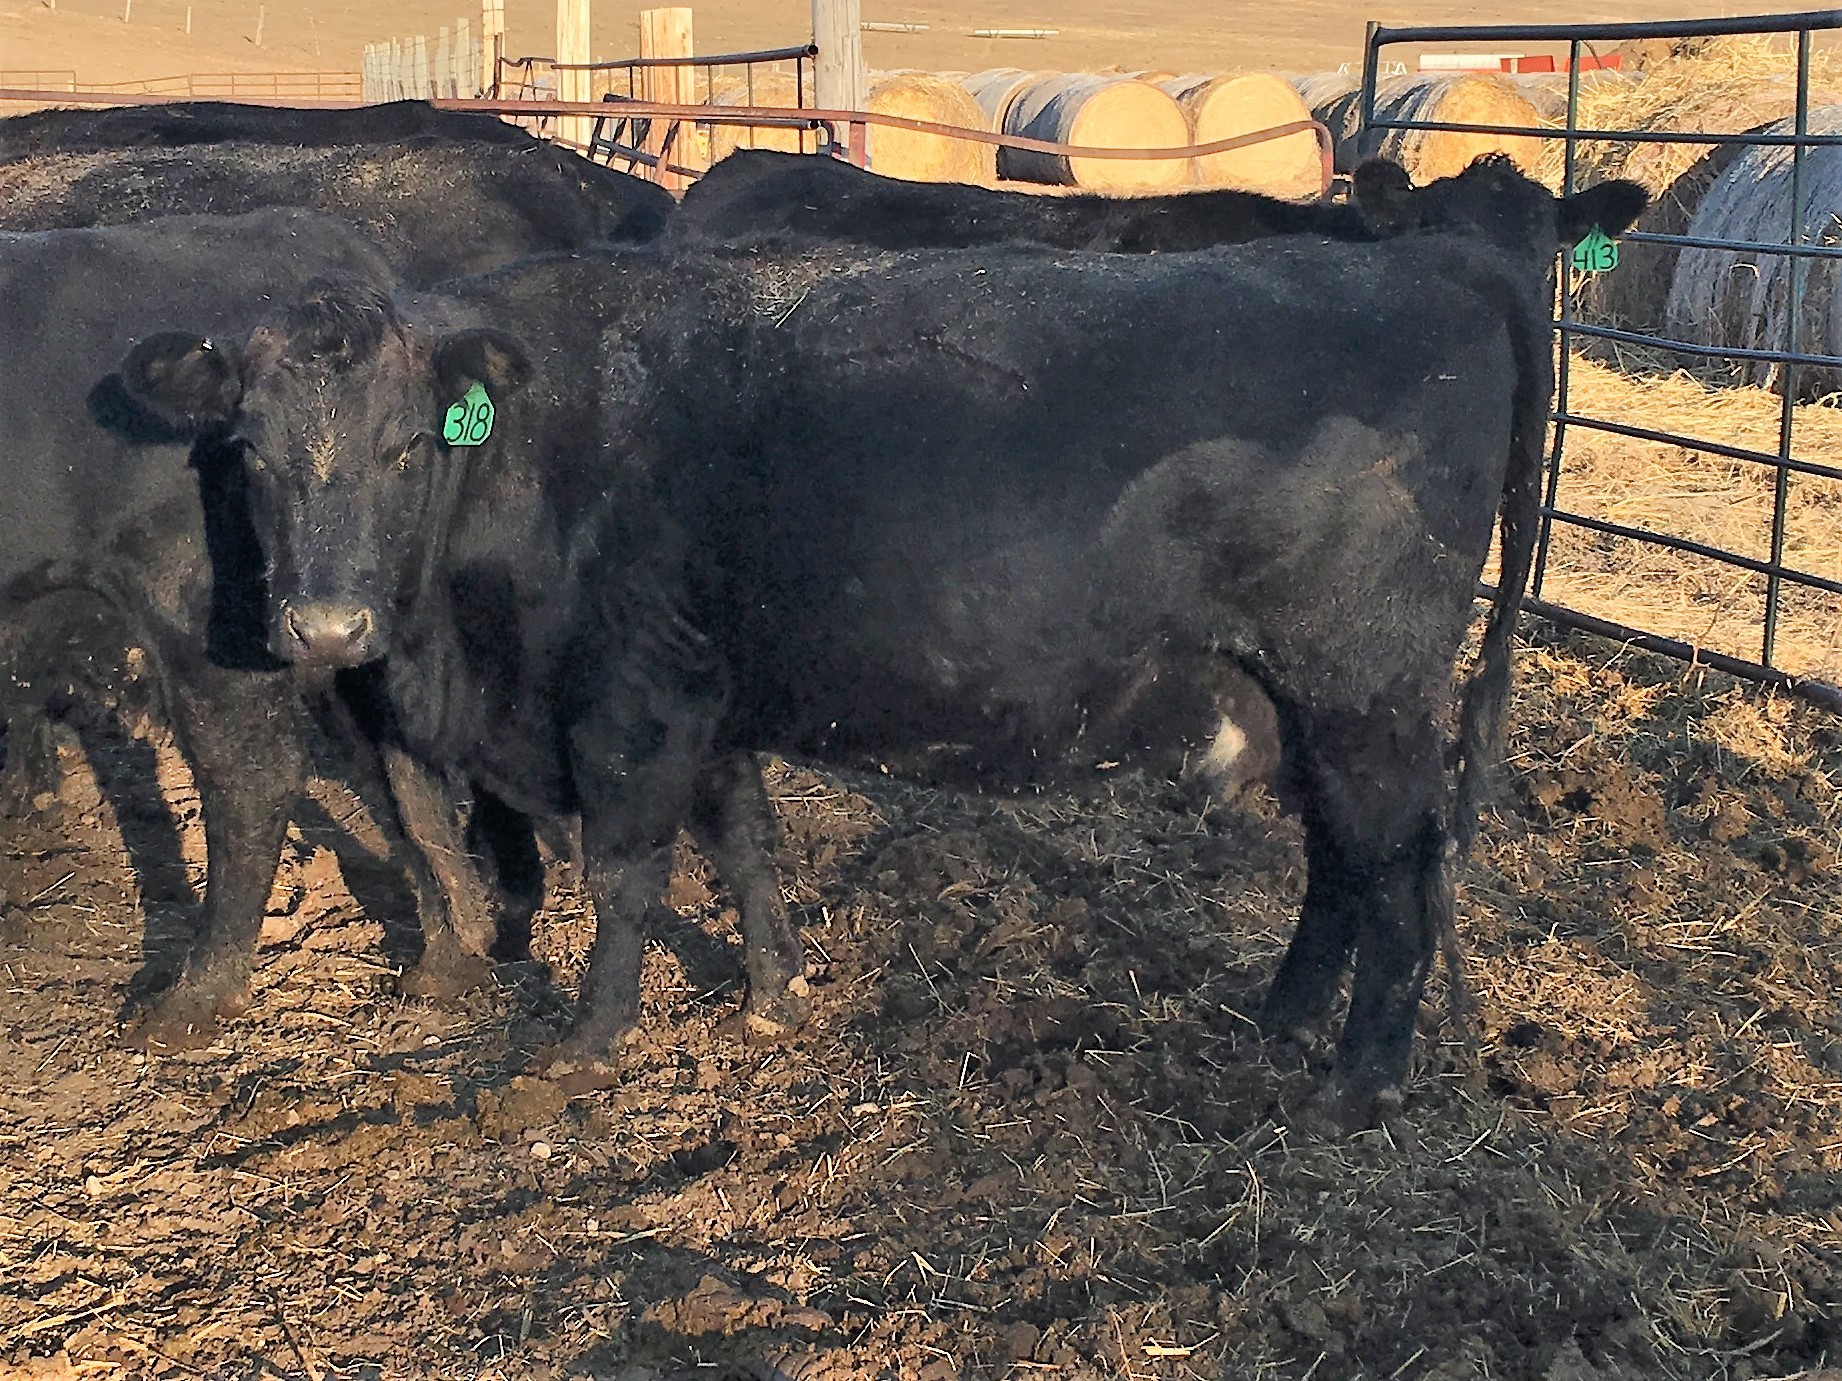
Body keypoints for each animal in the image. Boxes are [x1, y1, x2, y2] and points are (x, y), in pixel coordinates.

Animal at [124, 158, 1647, 1124]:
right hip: (1307, 701)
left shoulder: (630, 705)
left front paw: (586, 1049)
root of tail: (1443, 267)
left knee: (1401, 869)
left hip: (1369, 695)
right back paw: (1280, 1023)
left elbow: (624, 881)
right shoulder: (710, 697)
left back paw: (1360, 1082)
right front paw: (774, 993)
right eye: (249, 451)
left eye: (404, 447)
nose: (324, 622)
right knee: (1341, 861)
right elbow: (745, 841)